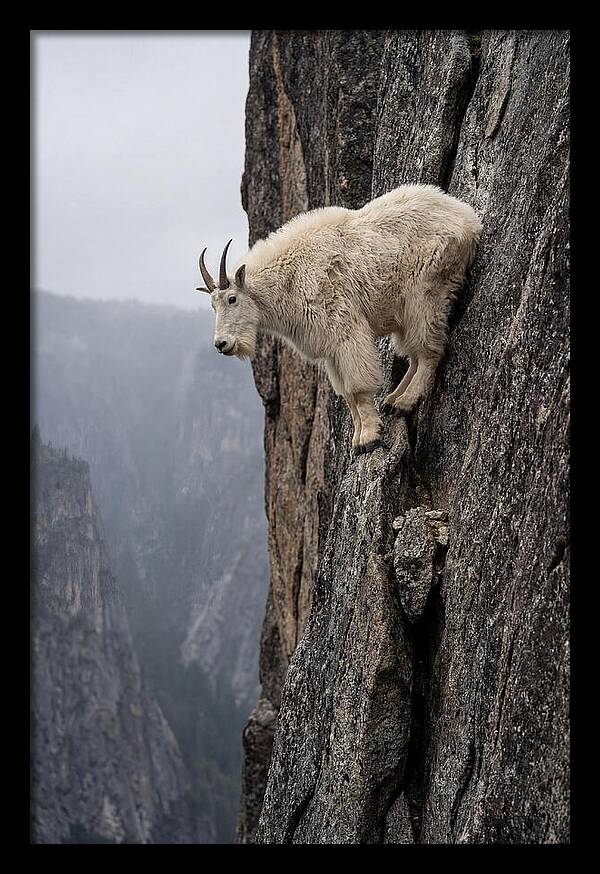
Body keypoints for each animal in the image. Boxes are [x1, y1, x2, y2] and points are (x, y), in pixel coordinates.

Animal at [196, 184, 482, 453]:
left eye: (232, 299)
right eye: (212, 305)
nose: (221, 344)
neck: (289, 279)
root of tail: (468, 218)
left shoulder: (345, 331)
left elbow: (357, 388)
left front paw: (369, 438)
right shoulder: (330, 349)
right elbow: (346, 394)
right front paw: (357, 439)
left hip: (425, 293)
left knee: (429, 351)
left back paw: (404, 402)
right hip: (405, 311)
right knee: (413, 354)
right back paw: (392, 400)